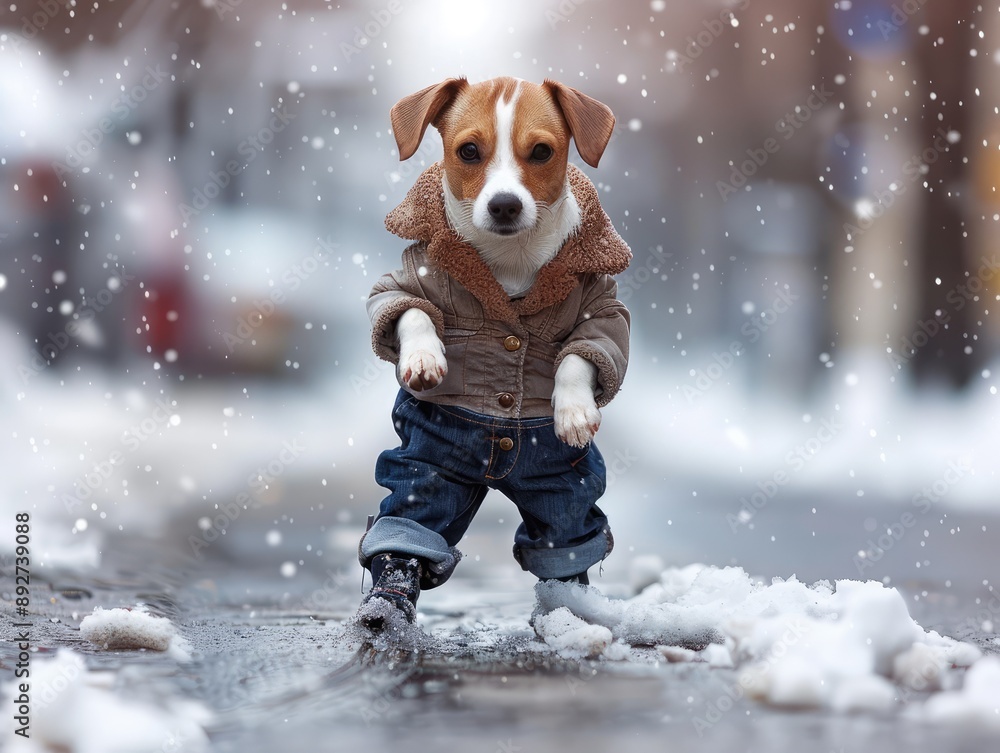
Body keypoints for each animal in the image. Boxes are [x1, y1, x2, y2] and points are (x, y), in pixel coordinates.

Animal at [356, 76, 628, 628]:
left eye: (541, 151)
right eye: (468, 151)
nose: (504, 204)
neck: (510, 260)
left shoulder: (605, 309)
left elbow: (582, 353)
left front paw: (572, 410)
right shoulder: (405, 281)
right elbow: (409, 312)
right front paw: (424, 358)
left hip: (560, 487)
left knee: (565, 535)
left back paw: (571, 609)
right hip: (430, 464)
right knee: (415, 512)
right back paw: (386, 603)